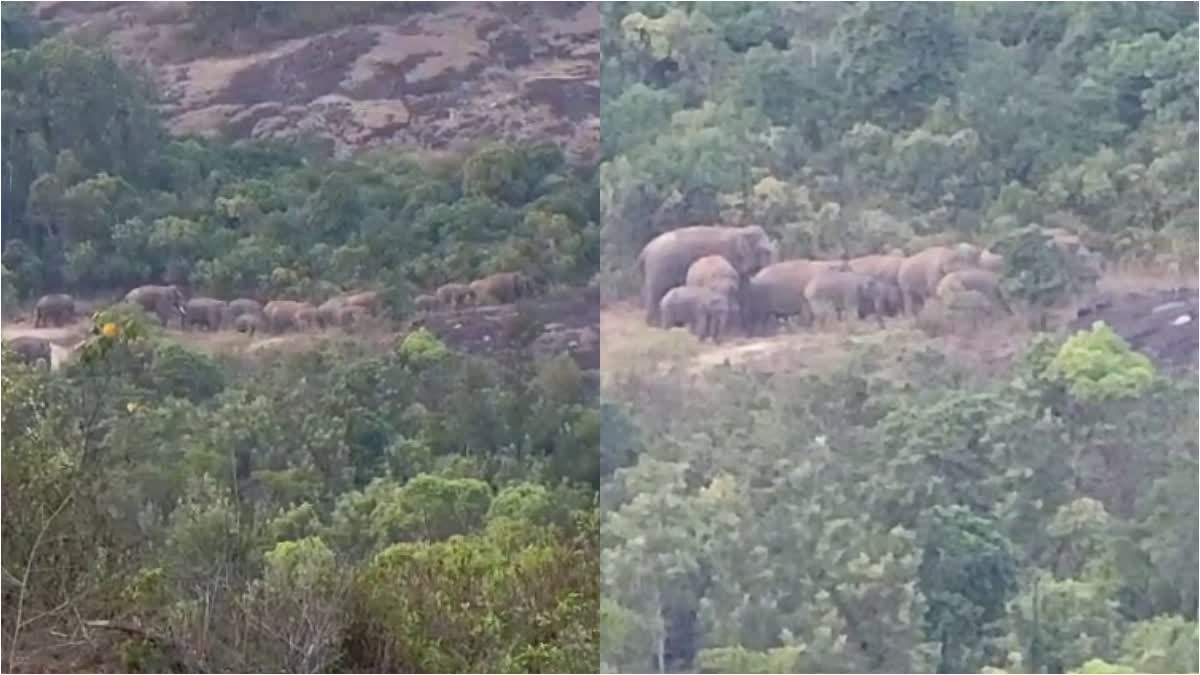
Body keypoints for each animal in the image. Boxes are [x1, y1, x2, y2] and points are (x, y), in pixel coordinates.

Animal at [638, 224, 777, 324]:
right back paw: (654, 325)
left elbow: (743, 288)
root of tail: (645, 250)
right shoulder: (728, 256)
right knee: (655, 294)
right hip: (659, 269)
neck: (740, 231)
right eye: (765, 251)